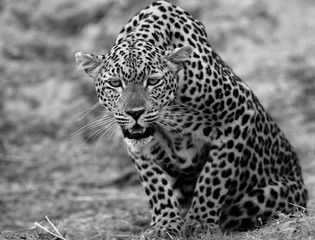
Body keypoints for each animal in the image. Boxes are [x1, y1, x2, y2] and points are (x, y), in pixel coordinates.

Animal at [76, 0, 308, 236]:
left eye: (153, 81)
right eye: (115, 83)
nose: (135, 113)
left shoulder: (239, 112)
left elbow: (214, 176)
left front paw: (200, 222)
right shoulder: (138, 147)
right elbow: (156, 184)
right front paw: (165, 224)